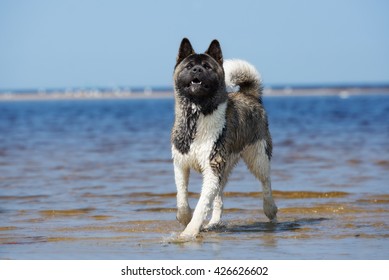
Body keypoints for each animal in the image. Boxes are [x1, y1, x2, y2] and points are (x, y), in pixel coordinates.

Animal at [171, 37, 276, 238]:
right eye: (189, 66)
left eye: (207, 66)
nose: (197, 70)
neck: (197, 115)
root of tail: (249, 94)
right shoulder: (181, 163)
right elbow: (181, 197)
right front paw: (184, 219)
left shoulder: (212, 167)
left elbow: (202, 204)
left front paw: (189, 232)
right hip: (226, 168)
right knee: (219, 199)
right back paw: (214, 223)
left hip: (258, 156)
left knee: (266, 182)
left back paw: (270, 210)